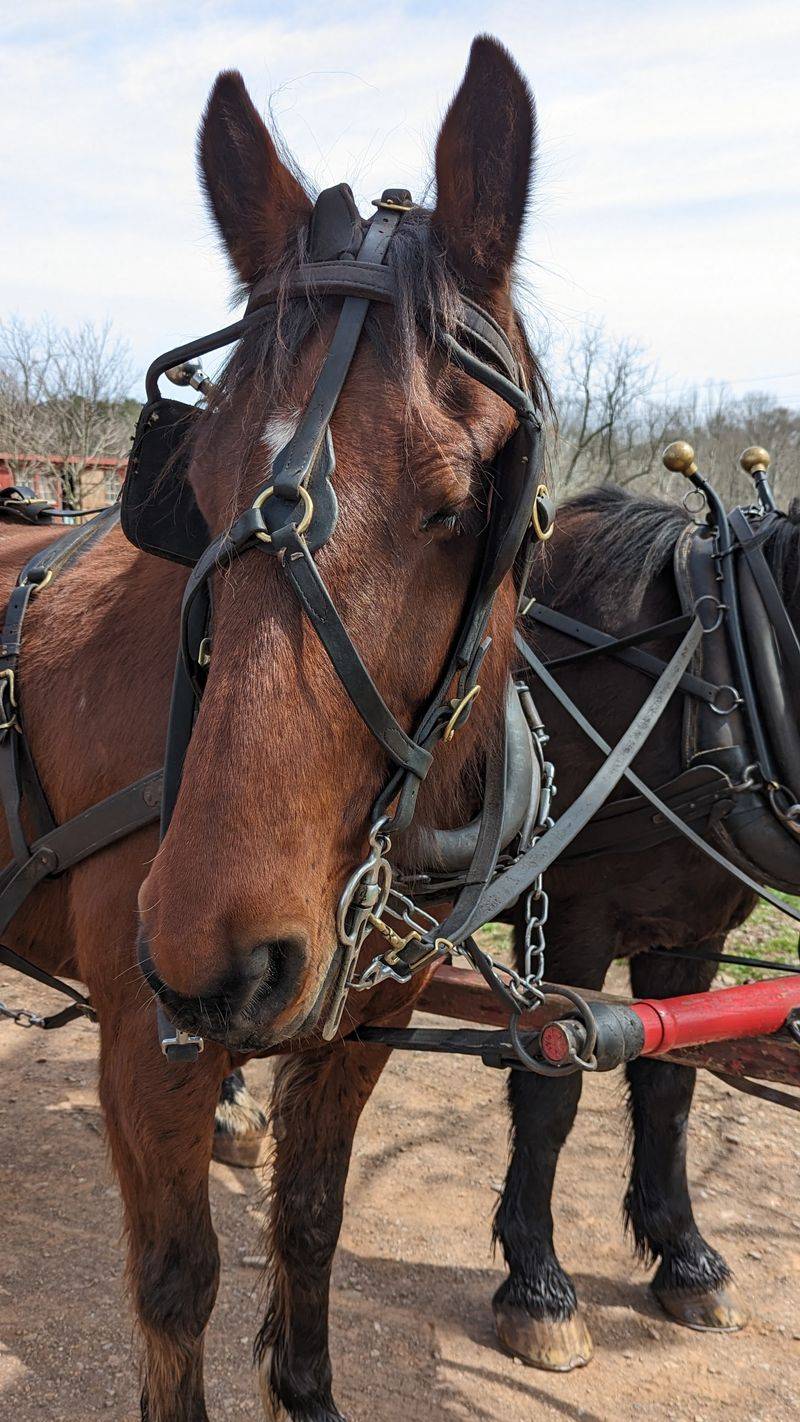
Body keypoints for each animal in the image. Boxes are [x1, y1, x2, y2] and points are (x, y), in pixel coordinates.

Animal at [0, 37, 549, 1421]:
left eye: (458, 503)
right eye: (190, 487)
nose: (218, 961)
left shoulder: (367, 1015)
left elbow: (309, 1220)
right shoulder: (147, 1042)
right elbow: (175, 1283)